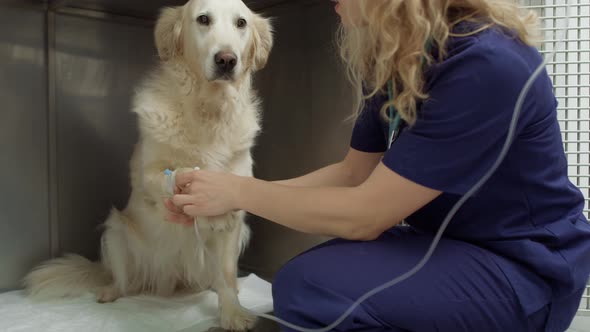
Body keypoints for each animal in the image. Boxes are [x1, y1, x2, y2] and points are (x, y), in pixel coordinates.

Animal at [22, 0, 272, 330]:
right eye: (203, 19)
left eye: (241, 23)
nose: (226, 60)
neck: (208, 111)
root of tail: (170, 281)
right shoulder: (147, 173)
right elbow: (171, 177)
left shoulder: (234, 222)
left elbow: (228, 274)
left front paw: (232, 313)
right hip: (115, 231)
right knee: (124, 281)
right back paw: (109, 291)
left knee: (216, 279)